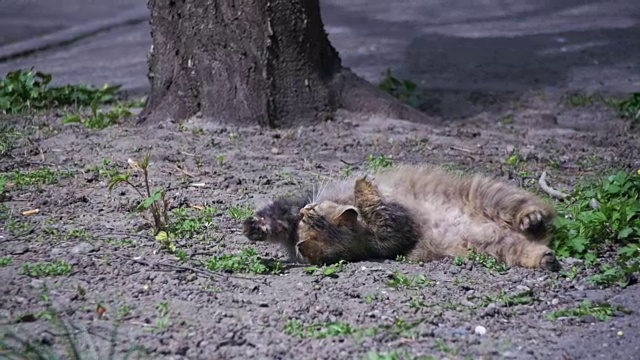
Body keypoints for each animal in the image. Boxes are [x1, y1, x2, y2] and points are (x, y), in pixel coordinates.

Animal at [242, 165, 564, 272]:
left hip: (493, 198)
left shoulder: (395, 221)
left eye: (314, 210)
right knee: (528, 247)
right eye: (307, 215)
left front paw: (363, 188)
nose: (303, 211)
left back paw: (532, 219)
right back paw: (544, 258)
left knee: (538, 210)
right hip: (493, 246)